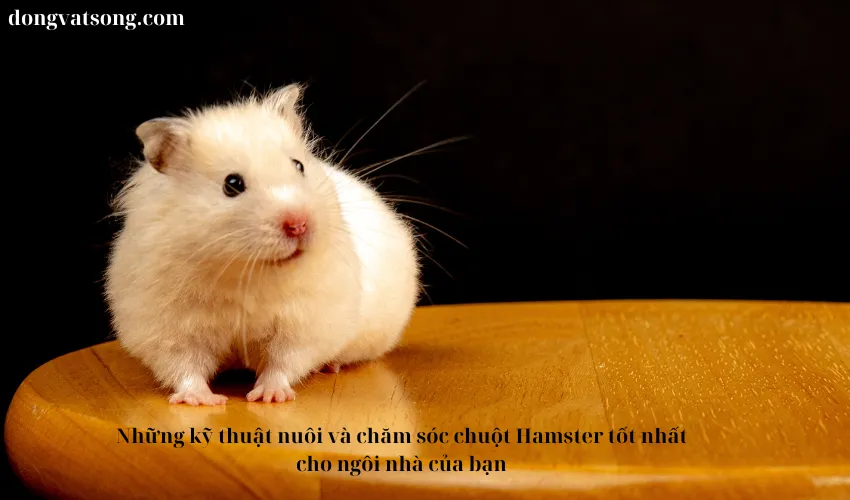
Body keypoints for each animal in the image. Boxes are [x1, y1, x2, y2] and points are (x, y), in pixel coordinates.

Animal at [104, 84, 420, 405]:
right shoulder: (168, 327)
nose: (299, 224)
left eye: (299, 165)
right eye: (232, 184)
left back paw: (331, 365)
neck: (246, 271)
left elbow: (283, 361)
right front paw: (203, 400)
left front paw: (269, 396)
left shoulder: (304, 323)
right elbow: (184, 366)